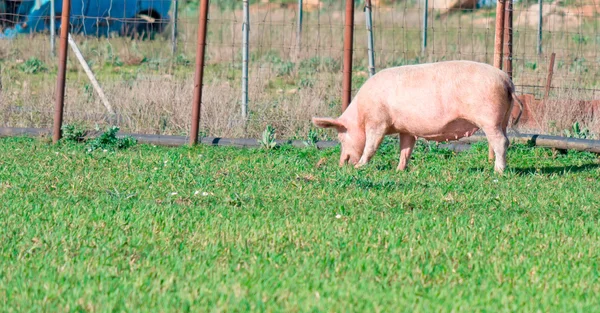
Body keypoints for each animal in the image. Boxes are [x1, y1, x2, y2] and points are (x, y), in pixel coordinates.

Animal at [312, 60, 524, 173]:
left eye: (341, 137)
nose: (342, 163)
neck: (360, 113)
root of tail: (507, 81)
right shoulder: (406, 129)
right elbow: (405, 149)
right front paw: (399, 170)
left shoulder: (377, 121)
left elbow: (371, 146)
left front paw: (359, 167)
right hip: (503, 119)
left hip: (489, 118)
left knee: (501, 142)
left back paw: (498, 171)